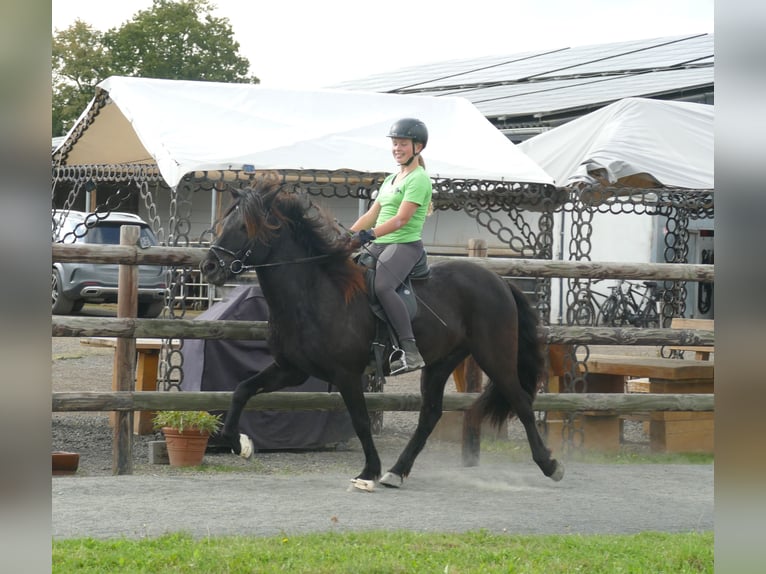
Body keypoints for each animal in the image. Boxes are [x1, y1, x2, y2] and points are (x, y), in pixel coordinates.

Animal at [201, 176, 568, 490]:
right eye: (223, 225)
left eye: (245, 227)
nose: (209, 267)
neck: (315, 293)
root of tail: (499, 281)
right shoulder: (291, 370)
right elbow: (242, 389)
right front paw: (237, 442)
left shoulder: (346, 374)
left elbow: (361, 422)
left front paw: (368, 472)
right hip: (441, 362)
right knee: (430, 415)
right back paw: (397, 472)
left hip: (495, 355)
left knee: (520, 401)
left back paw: (550, 465)